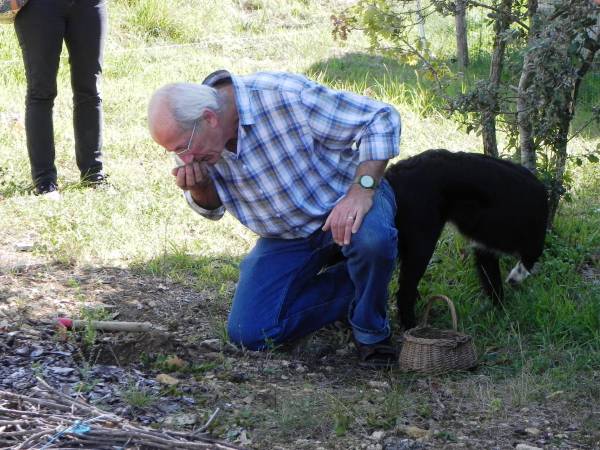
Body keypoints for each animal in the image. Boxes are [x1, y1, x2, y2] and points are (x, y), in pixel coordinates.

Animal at [384, 149, 548, 328]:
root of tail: (393, 173)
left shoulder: (485, 248)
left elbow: (493, 282)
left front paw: (499, 309)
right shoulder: (533, 239)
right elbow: (530, 260)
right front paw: (514, 279)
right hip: (423, 243)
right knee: (404, 291)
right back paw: (411, 326)